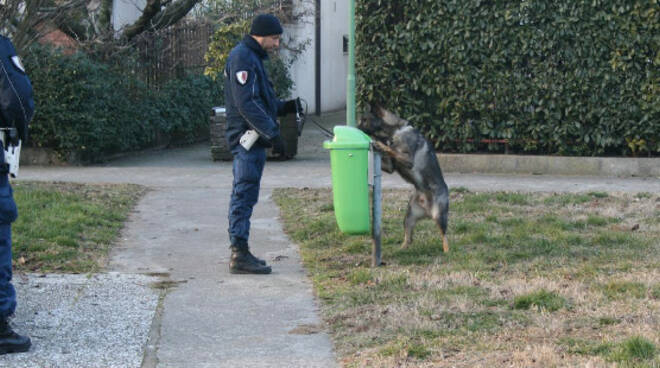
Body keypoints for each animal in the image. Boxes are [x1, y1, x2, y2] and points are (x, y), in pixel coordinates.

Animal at [358, 105, 452, 252]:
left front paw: (380, 144)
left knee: (444, 235)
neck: (396, 131)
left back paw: (447, 250)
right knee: (409, 238)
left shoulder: (408, 160)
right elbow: (390, 154)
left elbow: (392, 149)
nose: (355, 127)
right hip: (409, 217)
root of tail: (428, 211)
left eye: (364, 120)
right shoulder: (390, 166)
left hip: (439, 215)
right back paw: (401, 248)